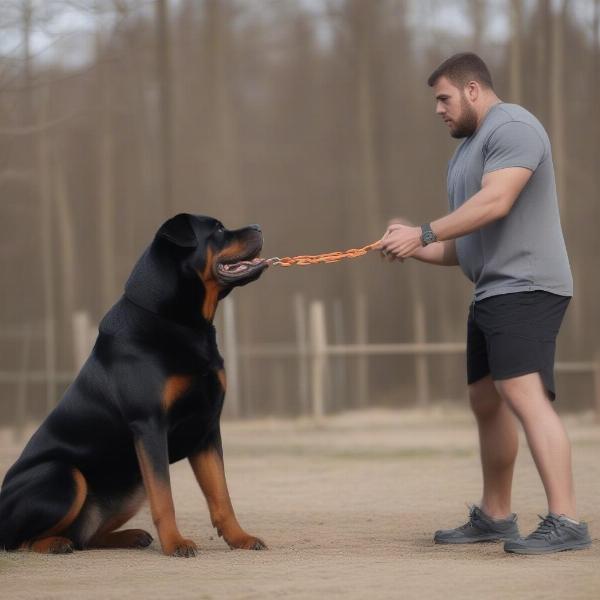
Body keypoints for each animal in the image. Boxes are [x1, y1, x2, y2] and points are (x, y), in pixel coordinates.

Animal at [0, 213, 268, 556]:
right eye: (218, 229)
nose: (258, 227)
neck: (182, 322)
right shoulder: (150, 424)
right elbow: (164, 497)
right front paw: (175, 543)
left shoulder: (206, 427)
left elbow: (220, 494)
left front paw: (240, 538)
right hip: (63, 476)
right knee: (18, 539)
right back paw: (55, 543)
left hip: (130, 485)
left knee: (86, 536)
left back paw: (130, 536)